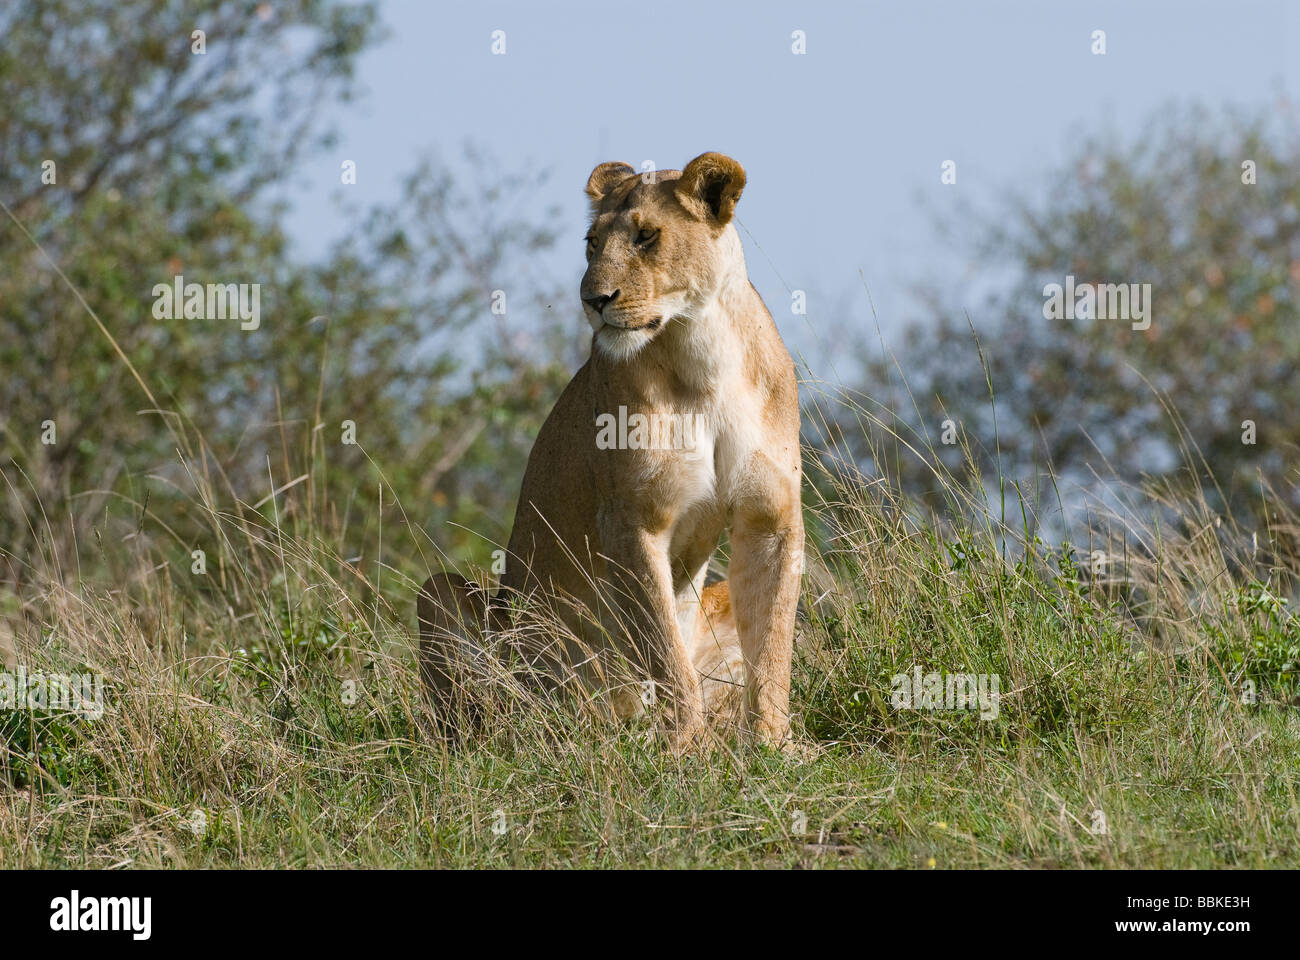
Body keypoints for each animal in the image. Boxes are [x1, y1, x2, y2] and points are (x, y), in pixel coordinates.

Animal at [418, 152, 803, 749]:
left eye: (647, 236)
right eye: (592, 242)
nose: (593, 300)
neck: (702, 354)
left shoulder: (771, 517)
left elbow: (772, 645)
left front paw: (771, 744)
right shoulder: (631, 520)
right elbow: (665, 653)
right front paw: (687, 747)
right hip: (450, 603)